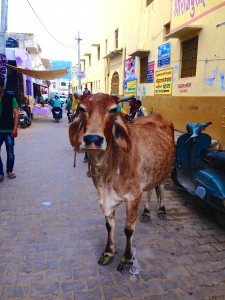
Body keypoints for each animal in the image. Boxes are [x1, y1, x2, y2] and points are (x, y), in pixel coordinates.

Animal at [68, 94, 174, 272]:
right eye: (82, 109)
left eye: (112, 110)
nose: (93, 139)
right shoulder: (105, 198)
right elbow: (109, 226)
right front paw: (108, 252)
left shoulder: (133, 197)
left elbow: (128, 229)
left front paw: (127, 258)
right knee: (150, 190)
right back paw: (146, 212)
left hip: (165, 170)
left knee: (161, 188)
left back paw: (161, 210)